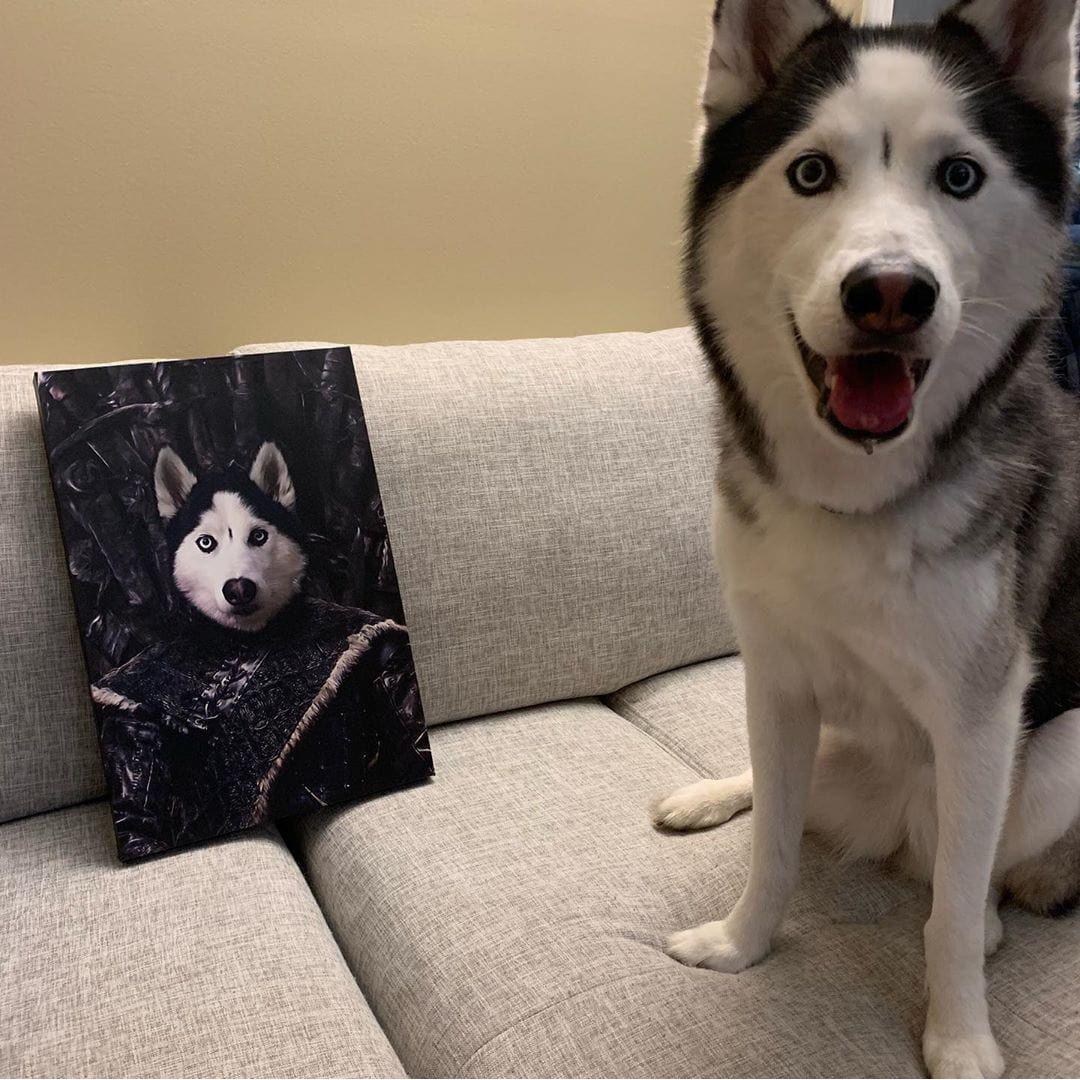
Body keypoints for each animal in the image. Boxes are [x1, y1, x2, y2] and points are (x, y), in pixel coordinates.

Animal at [652, 0, 1080, 1075]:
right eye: (811, 172)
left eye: (960, 176)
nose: (891, 291)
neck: (854, 499)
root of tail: (893, 825)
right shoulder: (776, 675)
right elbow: (772, 847)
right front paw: (743, 942)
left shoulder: (980, 723)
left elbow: (950, 913)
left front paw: (959, 1035)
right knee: (786, 789)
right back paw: (716, 791)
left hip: (1052, 759)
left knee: (973, 874)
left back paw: (991, 918)